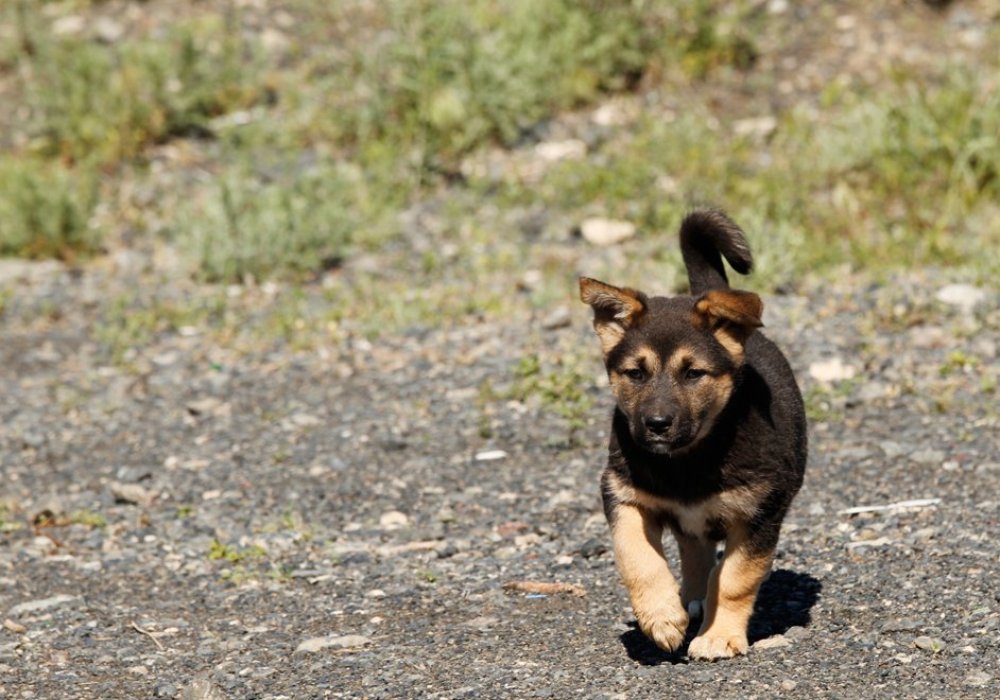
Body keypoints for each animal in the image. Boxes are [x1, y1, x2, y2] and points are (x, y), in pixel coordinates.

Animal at [584, 211, 808, 660]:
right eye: (635, 373)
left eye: (693, 373)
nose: (656, 423)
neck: (687, 461)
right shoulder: (622, 494)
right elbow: (636, 556)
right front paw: (662, 616)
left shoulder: (761, 514)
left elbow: (735, 577)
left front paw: (719, 636)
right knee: (694, 554)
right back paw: (685, 600)